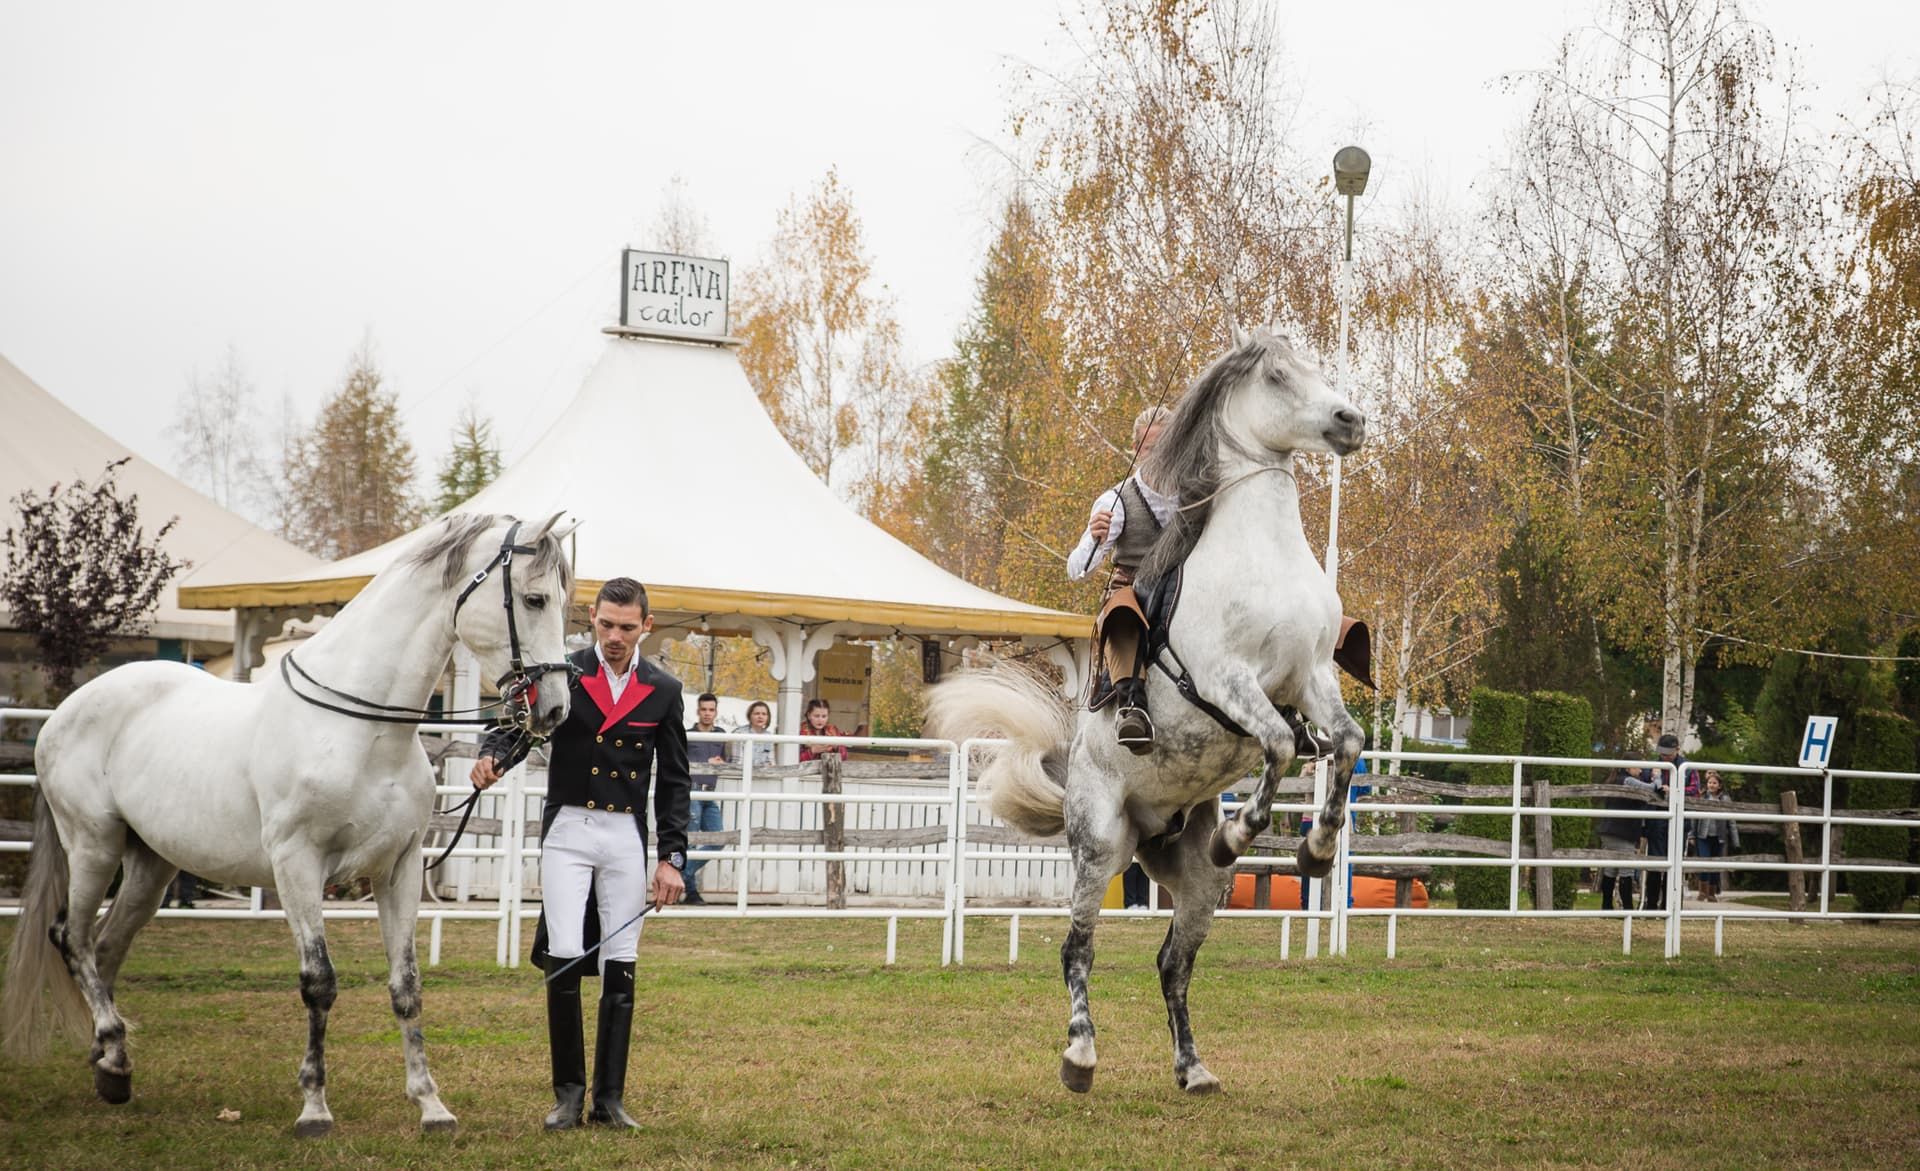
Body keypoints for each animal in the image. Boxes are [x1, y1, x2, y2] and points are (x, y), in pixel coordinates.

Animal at [2, 512, 576, 1136]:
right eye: (535, 598)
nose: (555, 710)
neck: (362, 730)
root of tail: (65, 711)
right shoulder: (297, 865)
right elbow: (318, 982)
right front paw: (314, 1108)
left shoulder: (396, 872)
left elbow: (406, 986)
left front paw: (431, 1105)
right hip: (93, 848)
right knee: (73, 939)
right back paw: (110, 1046)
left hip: (150, 867)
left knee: (105, 949)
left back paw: (112, 1065)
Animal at [926, 327, 1367, 1095]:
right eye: (1279, 377)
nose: (1351, 421)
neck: (1263, 557)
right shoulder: (1227, 680)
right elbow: (1281, 745)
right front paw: (1244, 830)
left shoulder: (1311, 678)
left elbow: (1344, 741)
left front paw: (1315, 848)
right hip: (1101, 845)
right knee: (1077, 949)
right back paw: (1079, 1057)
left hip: (1197, 884)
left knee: (1173, 963)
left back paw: (1193, 1067)